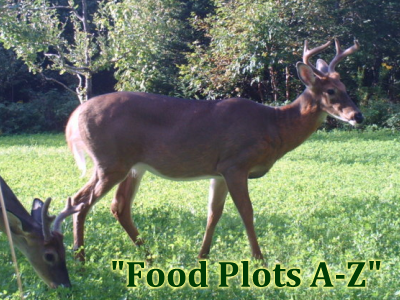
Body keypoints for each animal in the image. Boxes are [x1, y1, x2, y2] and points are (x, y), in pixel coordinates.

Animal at [67, 39, 364, 260]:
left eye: (345, 86)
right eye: (330, 91)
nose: (357, 116)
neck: (274, 126)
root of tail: (75, 117)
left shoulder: (218, 172)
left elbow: (214, 213)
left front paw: (202, 256)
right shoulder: (235, 163)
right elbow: (247, 212)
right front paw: (259, 259)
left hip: (131, 166)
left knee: (116, 206)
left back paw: (149, 255)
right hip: (110, 161)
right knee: (80, 201)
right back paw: (80, 258)